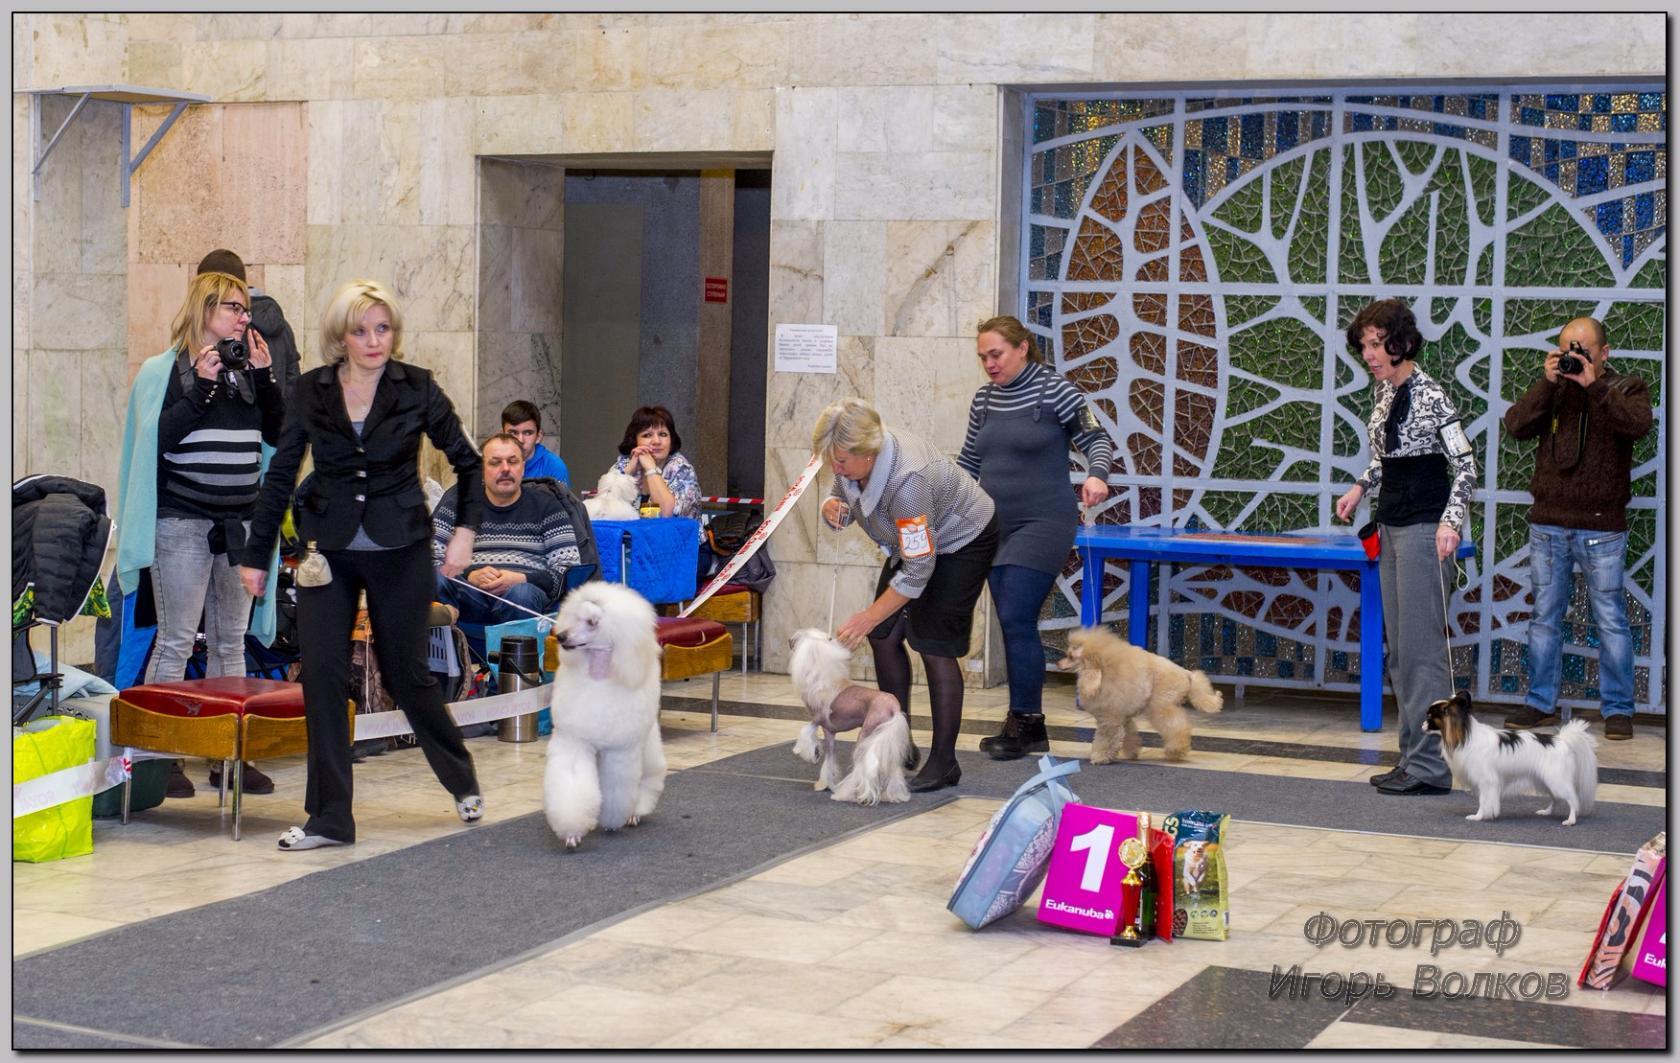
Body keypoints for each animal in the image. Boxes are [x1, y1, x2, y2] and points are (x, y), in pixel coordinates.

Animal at [542, 582, 666, 849]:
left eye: (592, 622)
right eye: (576, 616)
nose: (561, 636)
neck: (599, 677)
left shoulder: (620, 750)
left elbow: (618, 786)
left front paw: (612, 820)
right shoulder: (575, 741)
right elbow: (572, 783)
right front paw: (572, 832)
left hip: (646, 738)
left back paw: (635, 811)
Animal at [787, 628, 911, 805]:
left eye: (798, 637)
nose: (789, 640)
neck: (820, 677)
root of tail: (894, 707)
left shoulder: (819, 717)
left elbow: (806, 730)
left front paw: (803, 751)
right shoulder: (829, 732)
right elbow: (829, 759)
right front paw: (824, 783)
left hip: (866, 732)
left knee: (861, 767)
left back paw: (844, 794)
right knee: (892, 766)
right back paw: (895, 795)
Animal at [1056, 627, 1223, 764]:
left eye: (1071, 657)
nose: (1058, 663)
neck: (1103, 672)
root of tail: (1187, 674)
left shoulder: (1109, 718)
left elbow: (1106, 738)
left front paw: (1099, 757)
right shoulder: (1122, 716)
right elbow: (1128, 734)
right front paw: (1132, 753)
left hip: (1160, 705)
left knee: (1176, 727)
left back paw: (1175, 751)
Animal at [1425, 690, 1597, 826]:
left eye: (1430, 718)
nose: (1422, 725)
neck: (1466, 735)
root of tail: (1562, 740)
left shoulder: (1487, 782)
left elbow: (1483, 801)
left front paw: (1478, 817)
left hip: (1556, 780)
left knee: (1572, 799)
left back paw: (1571, 820)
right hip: (1546, 781)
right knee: (1555, 798)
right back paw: (1547, 812)